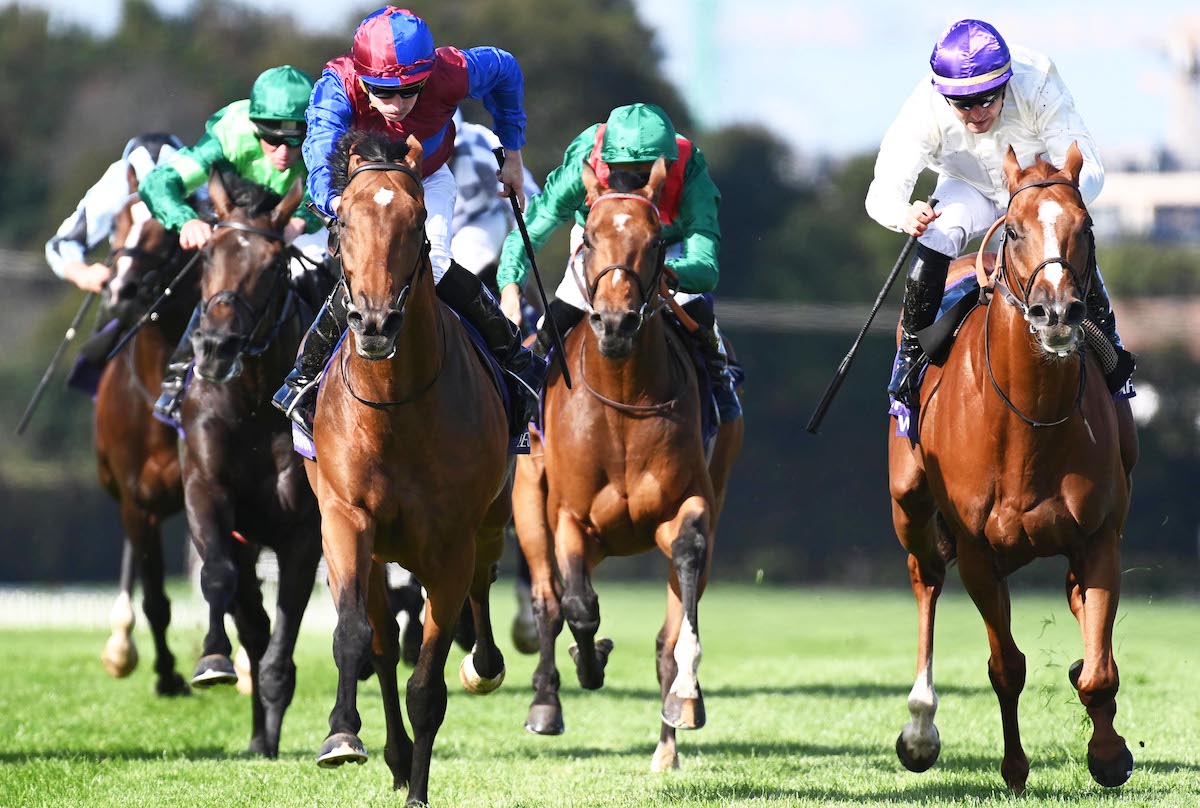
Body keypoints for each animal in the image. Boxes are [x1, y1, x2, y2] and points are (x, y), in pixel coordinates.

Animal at [304, 129, 511, 801]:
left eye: (418, 220)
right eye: (341, 219)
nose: (373, 322)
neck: (396, 407)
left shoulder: (451, 542)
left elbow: (428, 686)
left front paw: (419, 791)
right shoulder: (345, 518)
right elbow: (354, 638)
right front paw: (343, 738)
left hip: (488, 522)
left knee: (481, 586)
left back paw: (485, 665)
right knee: (381, 638)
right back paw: (390, 754)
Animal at [506, 160, 739, 773]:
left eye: (656, 242)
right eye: (588, 238)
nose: (615, 323)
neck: (622, 400)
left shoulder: (692, 504)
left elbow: (682, 588)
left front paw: (685, 699)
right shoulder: (569, 516)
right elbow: (578, 606)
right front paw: (588, 663)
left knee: (667, 631)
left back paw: (668, 742)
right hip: (528, 500)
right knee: (547, 601)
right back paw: (545, 702)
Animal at [897, 141, 1137, 792]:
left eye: (1086, 227)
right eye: (1015, 230)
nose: (1056, 312)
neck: (1031, 422)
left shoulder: (1099, 536)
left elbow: (1099, 670)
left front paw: (1109, 752)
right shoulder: (979, 551)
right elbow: (1006, 665)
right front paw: (1013, 765)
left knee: (1080, 606)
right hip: (911, 506)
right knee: (926, 578)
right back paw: (920, 726)